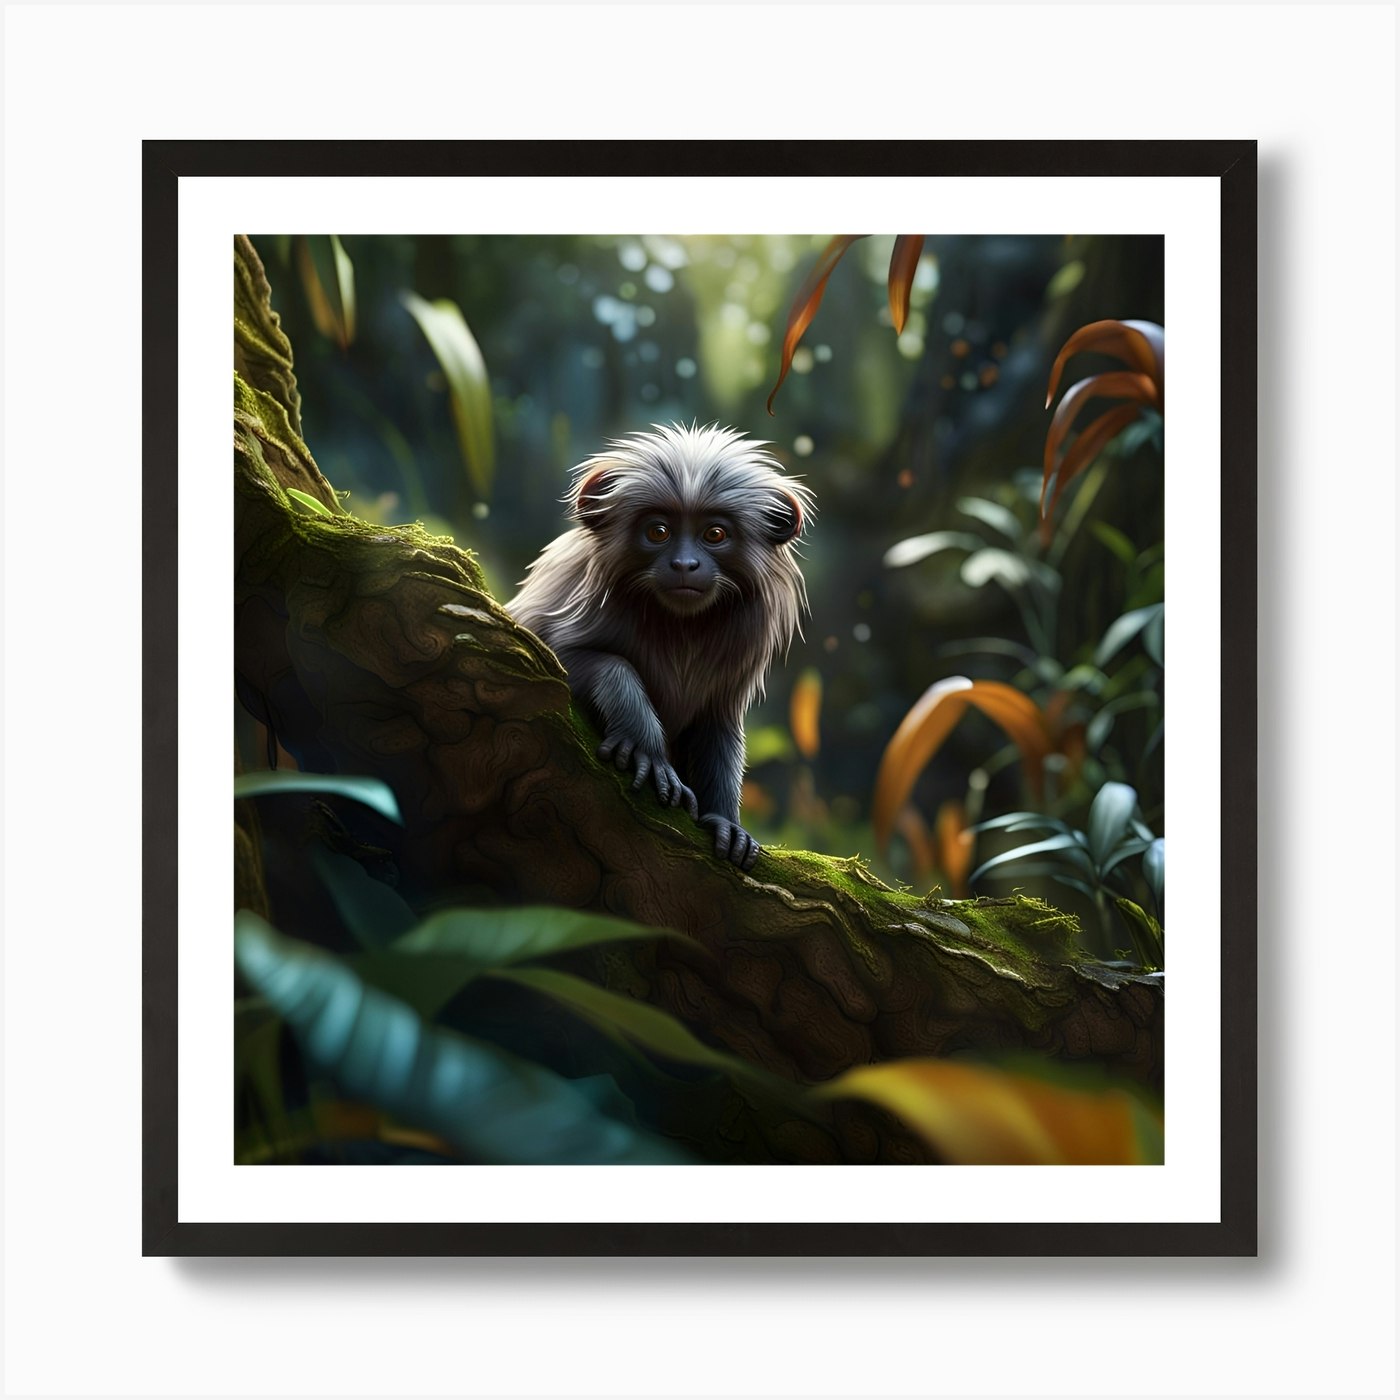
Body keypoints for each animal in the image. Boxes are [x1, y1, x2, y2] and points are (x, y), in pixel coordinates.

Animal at [507, 423, 813, 872]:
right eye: (658, 532)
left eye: (715, 534)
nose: (685, 565)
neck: (679, 627)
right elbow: (584, 661)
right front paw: (646, 748)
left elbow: (717, 727)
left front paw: (726, 820)